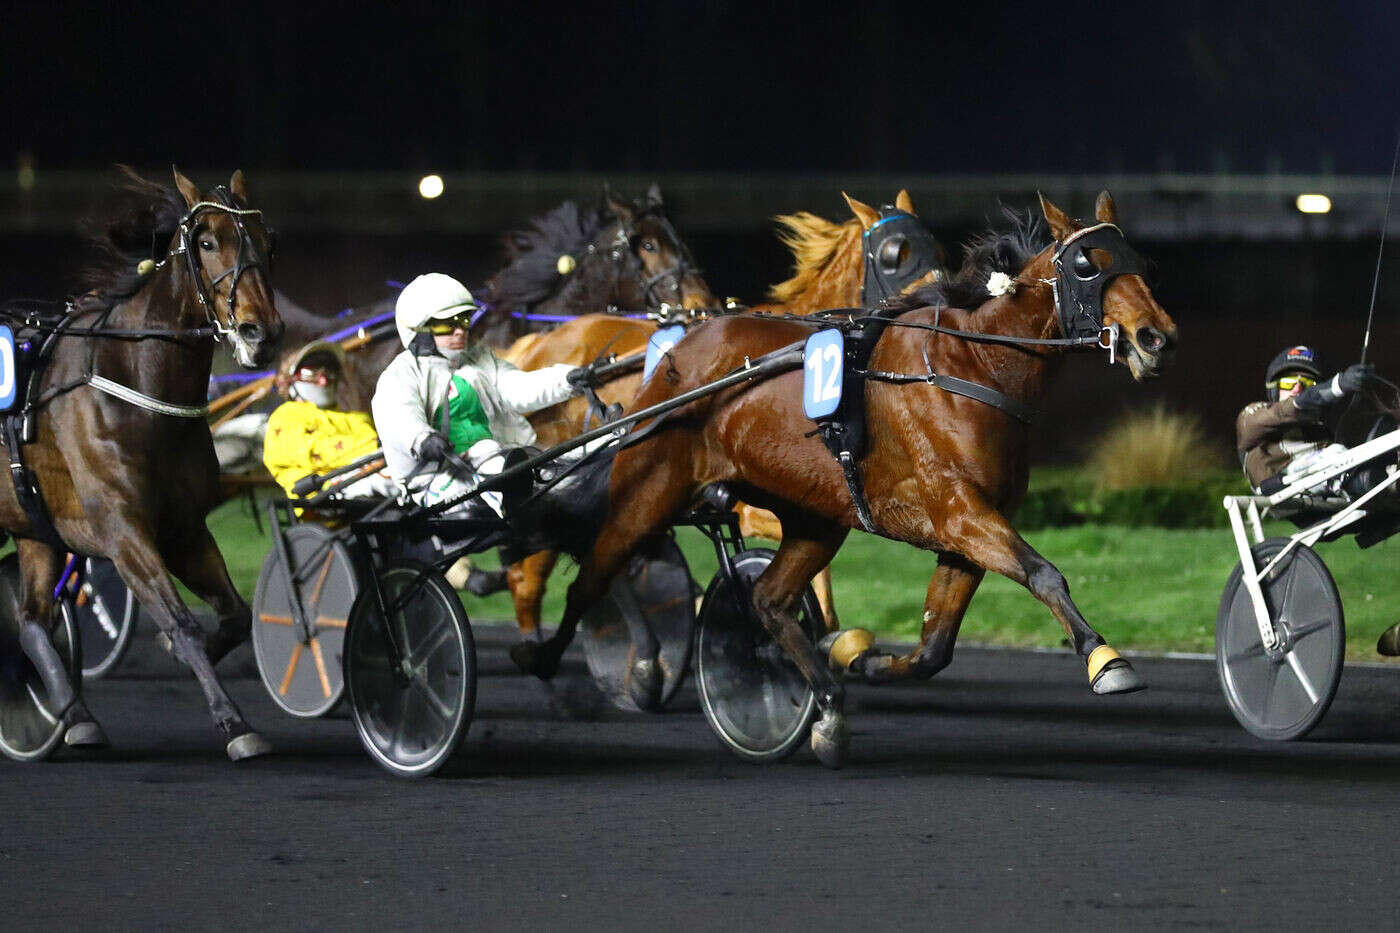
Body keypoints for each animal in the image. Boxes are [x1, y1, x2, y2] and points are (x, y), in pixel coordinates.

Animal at [0, 167, 284, 762]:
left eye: (270, 243)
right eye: (207, 242)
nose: (262, 332)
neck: (134, 382)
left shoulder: (183, 527)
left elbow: (234, 615)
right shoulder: (121, 529)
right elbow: (182, 622)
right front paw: (234, 723)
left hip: (32, 528)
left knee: (33, 621)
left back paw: (76, 716)